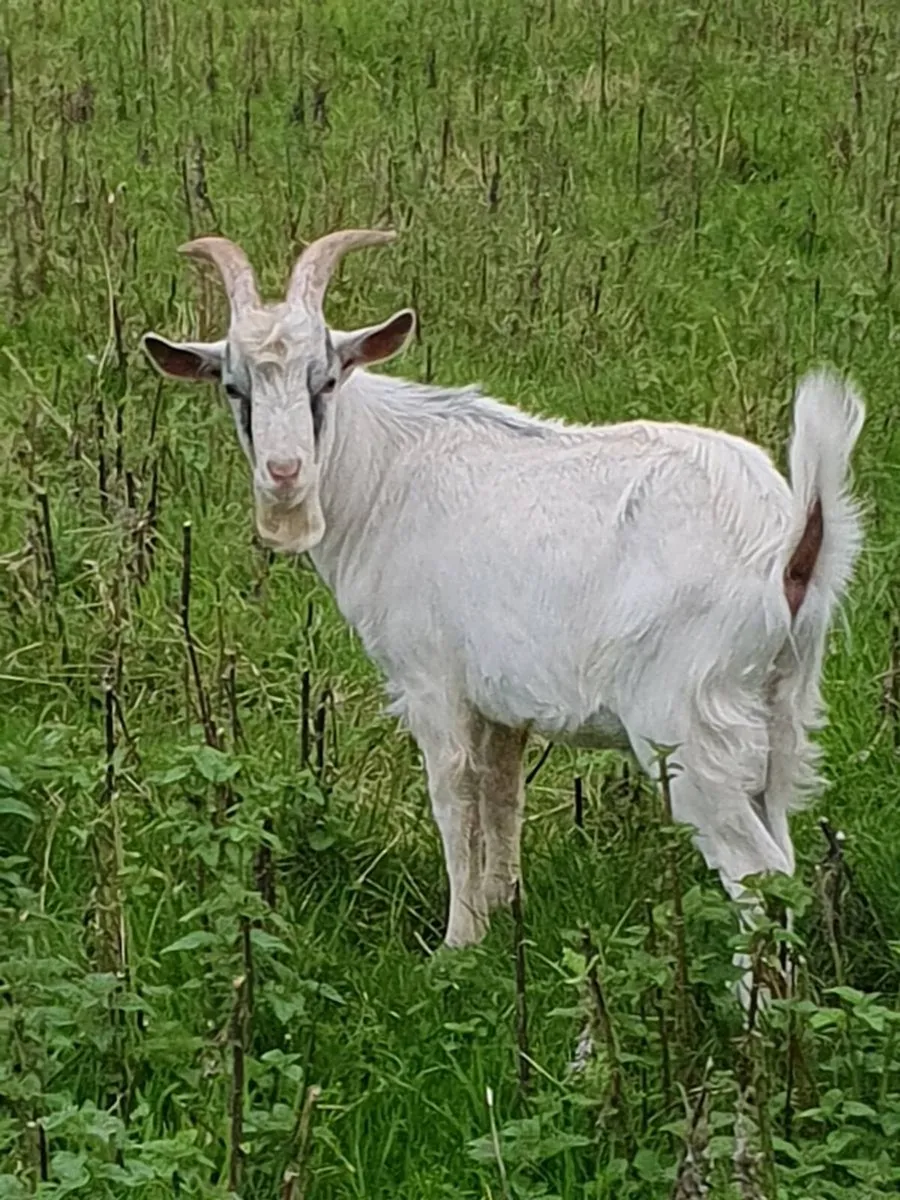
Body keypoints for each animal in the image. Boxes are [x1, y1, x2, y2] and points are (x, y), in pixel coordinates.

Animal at [142, 229, 865, 989]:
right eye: (233, 385)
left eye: (327, 379)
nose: (285, 476)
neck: (382, 475)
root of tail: (791, 542)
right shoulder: (503, 701)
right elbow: (502, 794)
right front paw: (503, 908)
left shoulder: (432, 680)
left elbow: (454, 797)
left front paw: (457, 944)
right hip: (782, 707)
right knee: (782, 846)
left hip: (687, 723)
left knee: (757, 868)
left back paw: (750, 1006)